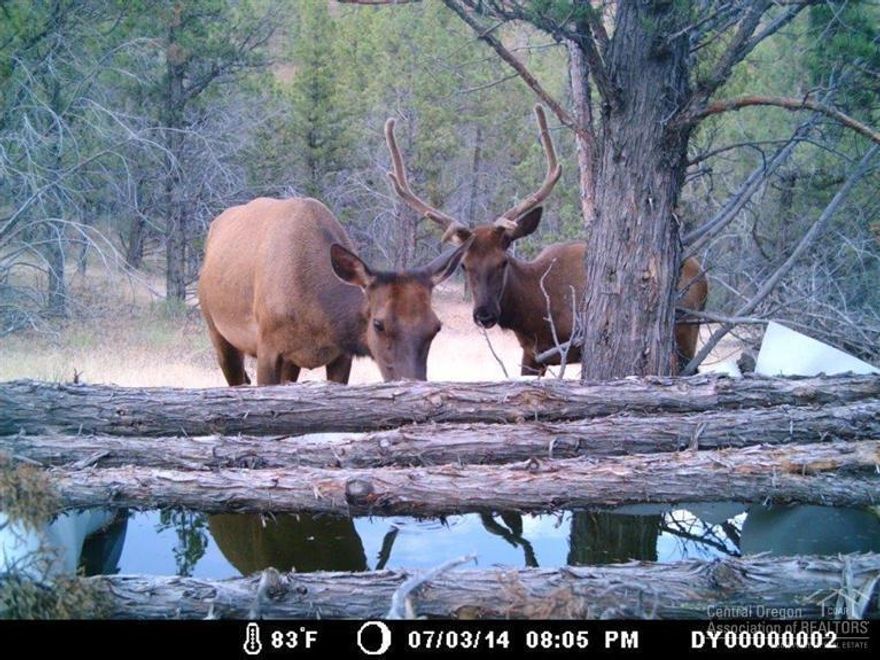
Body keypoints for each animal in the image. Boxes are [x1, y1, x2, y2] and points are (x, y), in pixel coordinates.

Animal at [197, 197, 467, 385]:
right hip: (217, 330)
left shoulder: (340, 355)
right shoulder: (267, 347)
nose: (413, 383)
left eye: (436, 327)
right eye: (378, 324)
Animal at [384, 106, 708, 376]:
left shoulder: (580, 344)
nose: (484, 314)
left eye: (503, 261)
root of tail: (702, 274)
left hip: (686, 332)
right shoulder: (531, 356)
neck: (534, 314)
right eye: (464, 265)